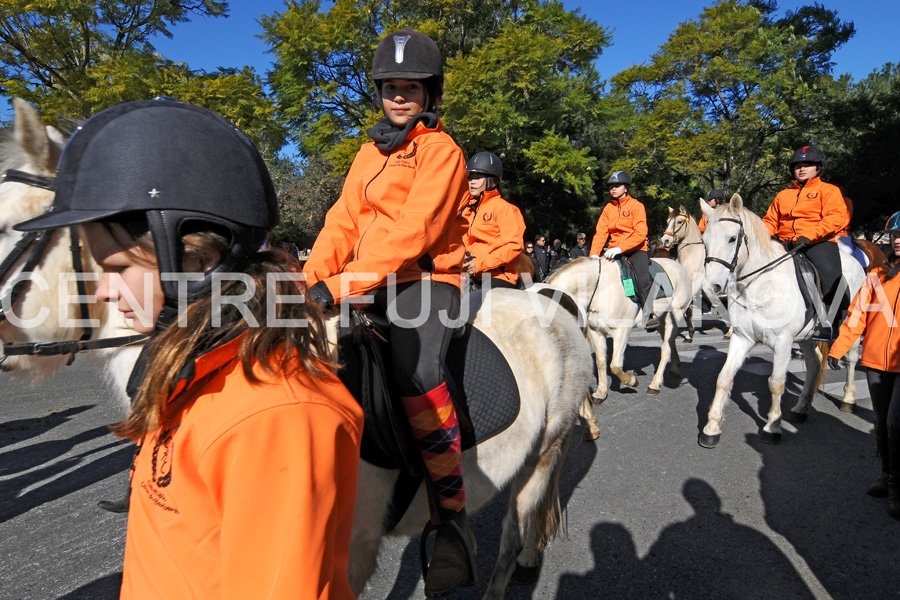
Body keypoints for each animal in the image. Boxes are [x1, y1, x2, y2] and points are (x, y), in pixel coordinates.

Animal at [544, 253, 692, 398]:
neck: (600, 289)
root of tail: (678, 266)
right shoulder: (595, 331)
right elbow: (601, 361)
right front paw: (601, 392)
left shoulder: (621, 331)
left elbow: (615, 365)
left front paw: (631, 381)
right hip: (662, 319)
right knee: (671, 342)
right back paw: (675, 368)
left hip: (675, 315)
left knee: (666, 348)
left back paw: (654, 384)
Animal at [700, 195, 860, 448]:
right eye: (704, 241)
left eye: (732, 238)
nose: (711, 287)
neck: (760, 286)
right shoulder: (742, 338)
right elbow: (724, 377)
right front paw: (712, 428)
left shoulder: (783, 342)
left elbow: (776, 382)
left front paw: (772, 427)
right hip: (806, 337)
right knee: (815, 362)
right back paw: (801, 408)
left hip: (852, 327)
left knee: (852, 358)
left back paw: (848, 399)